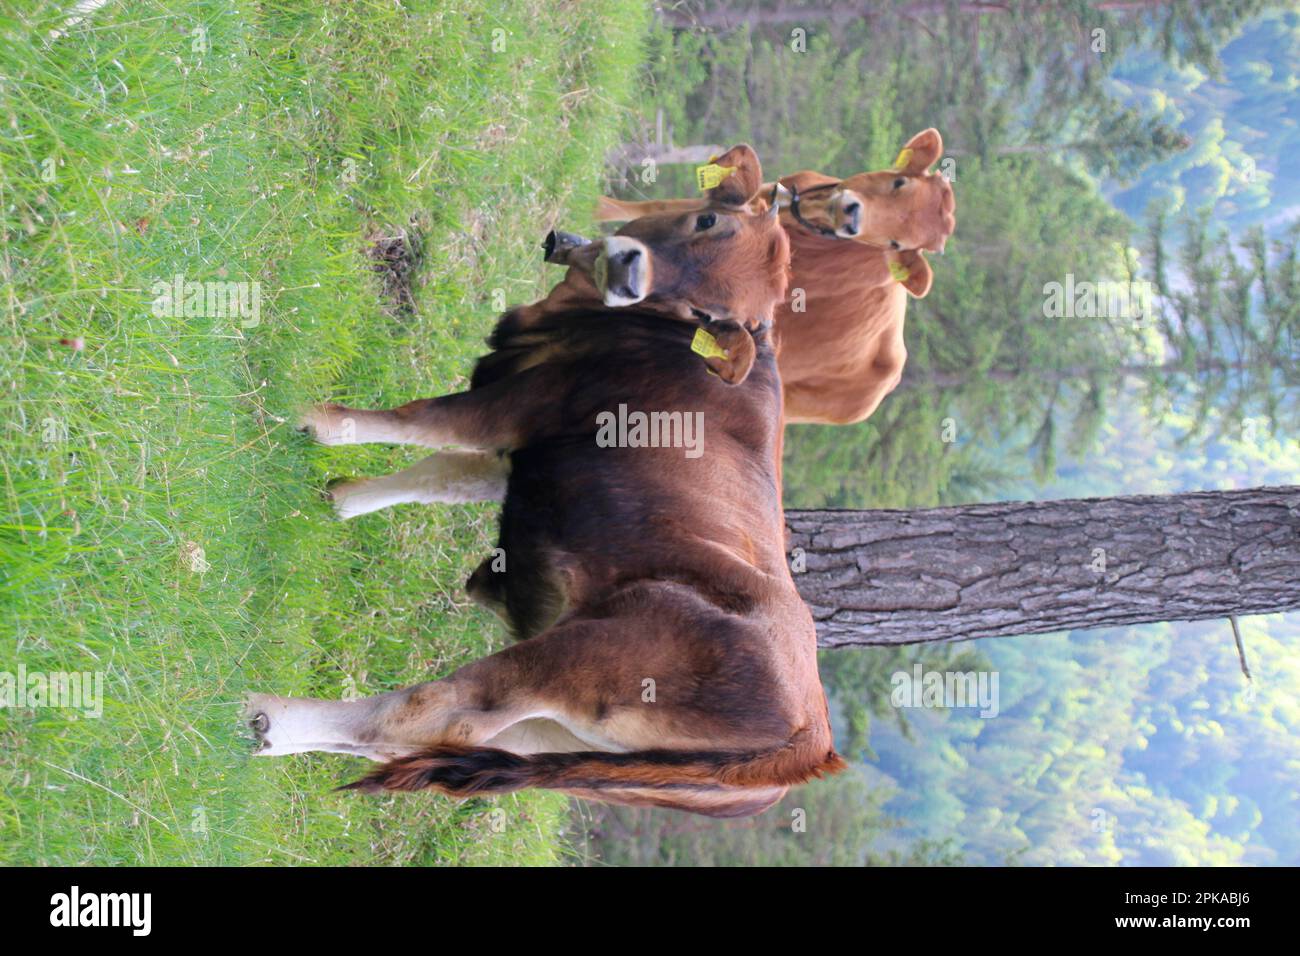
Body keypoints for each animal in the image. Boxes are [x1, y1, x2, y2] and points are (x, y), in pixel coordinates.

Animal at [248, 145, 847, 816]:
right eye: (708, 221)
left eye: (705, 316)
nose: (629, 273)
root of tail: (810, 740)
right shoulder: (529, 449)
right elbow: (442, 476)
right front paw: (342, 500)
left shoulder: (513, 404)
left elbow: (417, 421)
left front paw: (314, 421)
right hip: (555, 737)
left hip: (573, 660)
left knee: (435, 713)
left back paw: (266, 717)